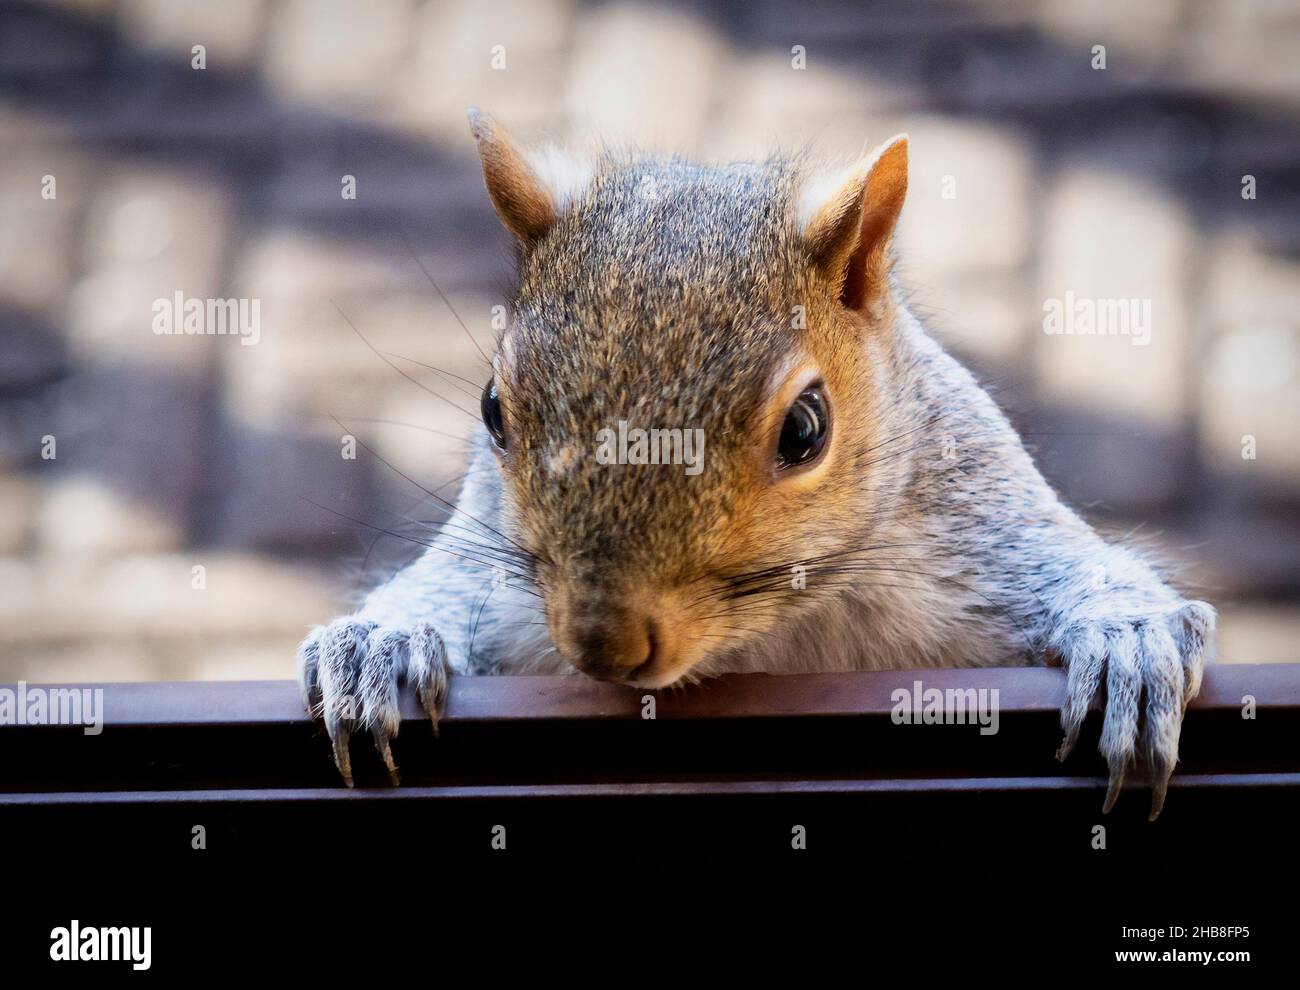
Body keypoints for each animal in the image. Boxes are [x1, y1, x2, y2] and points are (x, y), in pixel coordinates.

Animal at [297, 109, 1215, 820]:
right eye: (493, 407)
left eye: (806, 429)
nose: (602, 644)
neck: (768, 635)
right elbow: (446, 588)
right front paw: (379, 643)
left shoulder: (979, 528)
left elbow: (1070, 569)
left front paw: (1127, 641)